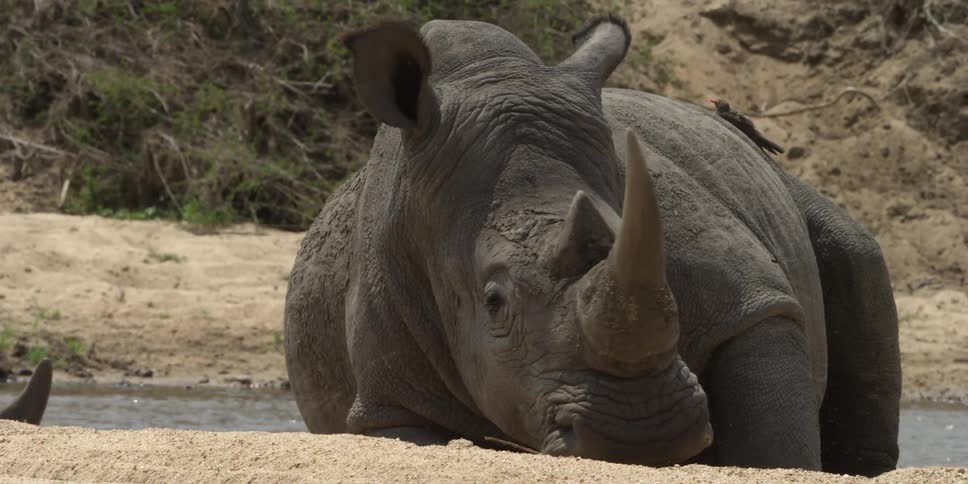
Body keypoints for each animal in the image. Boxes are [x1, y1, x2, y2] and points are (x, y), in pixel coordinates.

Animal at [284, 15, 901, 476]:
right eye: (492, 302)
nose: (642, 430)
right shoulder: (388, 402)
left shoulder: (752, 304)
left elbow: (774, 439)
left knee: (854, 252)